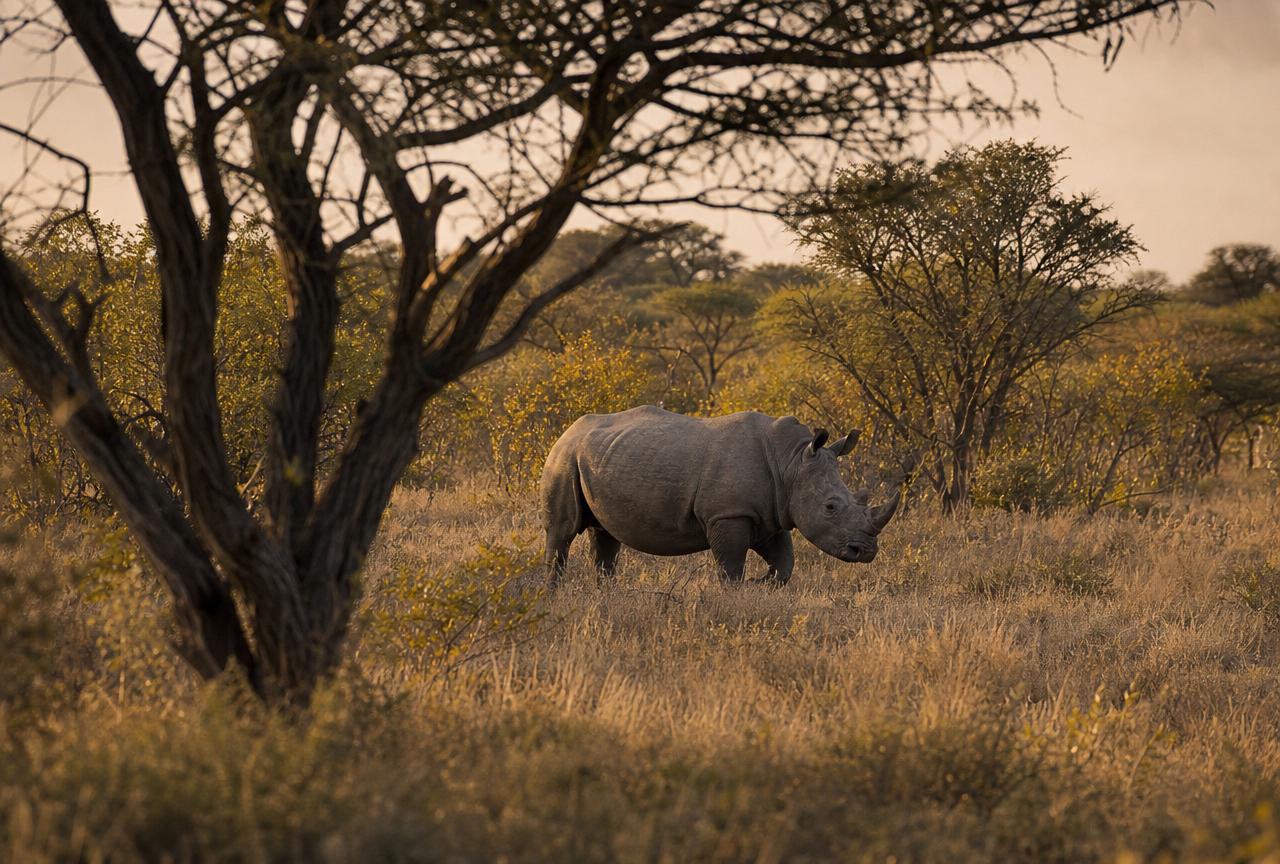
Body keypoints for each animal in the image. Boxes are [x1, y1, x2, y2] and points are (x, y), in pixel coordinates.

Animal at [540, 406, 902, 585]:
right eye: (830, 507)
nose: (865, 552)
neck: (791, 462)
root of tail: (567, 429)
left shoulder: (772, 515)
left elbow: (785, 566)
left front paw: (761, 582)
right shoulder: (729, 513)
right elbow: (730, 567)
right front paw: (738, 592)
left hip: (596, 456)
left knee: (605, 536)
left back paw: (607, 594)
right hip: (563, 458)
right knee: (562, 533)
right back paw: (554, 593)